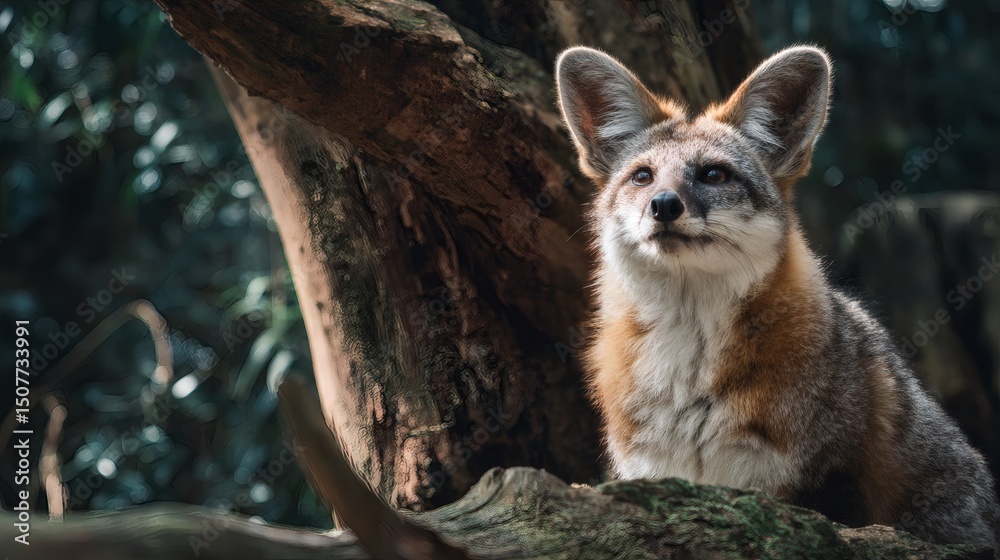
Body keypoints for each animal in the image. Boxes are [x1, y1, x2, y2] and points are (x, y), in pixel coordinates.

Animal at [554, 44, 1000, 550]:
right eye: (642, 177)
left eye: (713, 174)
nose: (664, 205)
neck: (689, 370)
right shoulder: (655, 471)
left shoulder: (825, 484)